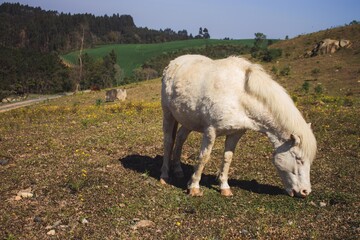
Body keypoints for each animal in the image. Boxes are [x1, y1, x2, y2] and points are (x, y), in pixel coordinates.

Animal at [160, 54, 316, 197]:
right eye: (298, 159)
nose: (305, 191)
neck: (239, 96)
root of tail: (175, 62)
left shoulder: (235, 133)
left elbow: (228, 158)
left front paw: (224, 187)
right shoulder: (211, 131)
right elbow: (204, 157)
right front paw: (194, 187)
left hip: (188, 120)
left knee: (180, 138)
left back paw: (178, 170)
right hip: (168, 113)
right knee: (168, 141)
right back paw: (164, 176)